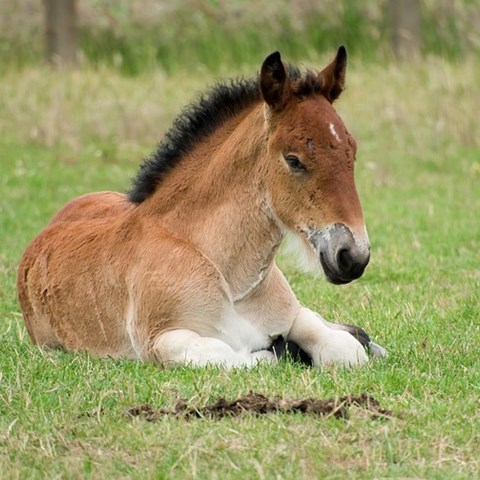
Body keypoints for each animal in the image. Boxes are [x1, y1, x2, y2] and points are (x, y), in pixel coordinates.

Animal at [18, 47, 384, 368]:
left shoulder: (293, 315)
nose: (353, 256)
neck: (231, 279)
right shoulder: (162, 340)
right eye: (293, 160)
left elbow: (344, 349)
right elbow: (232, 356)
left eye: (351, 152)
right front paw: (285, 351)